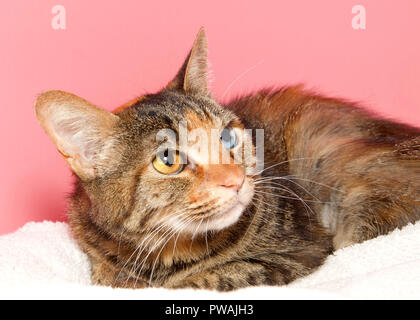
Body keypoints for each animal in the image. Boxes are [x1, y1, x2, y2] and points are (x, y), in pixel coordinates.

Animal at [35, 28, 420, 292]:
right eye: (167, 159)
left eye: (227, 137)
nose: (235, 179)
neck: (162, 253)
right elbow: (107, 276)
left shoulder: (298, 252)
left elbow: (209, 278)